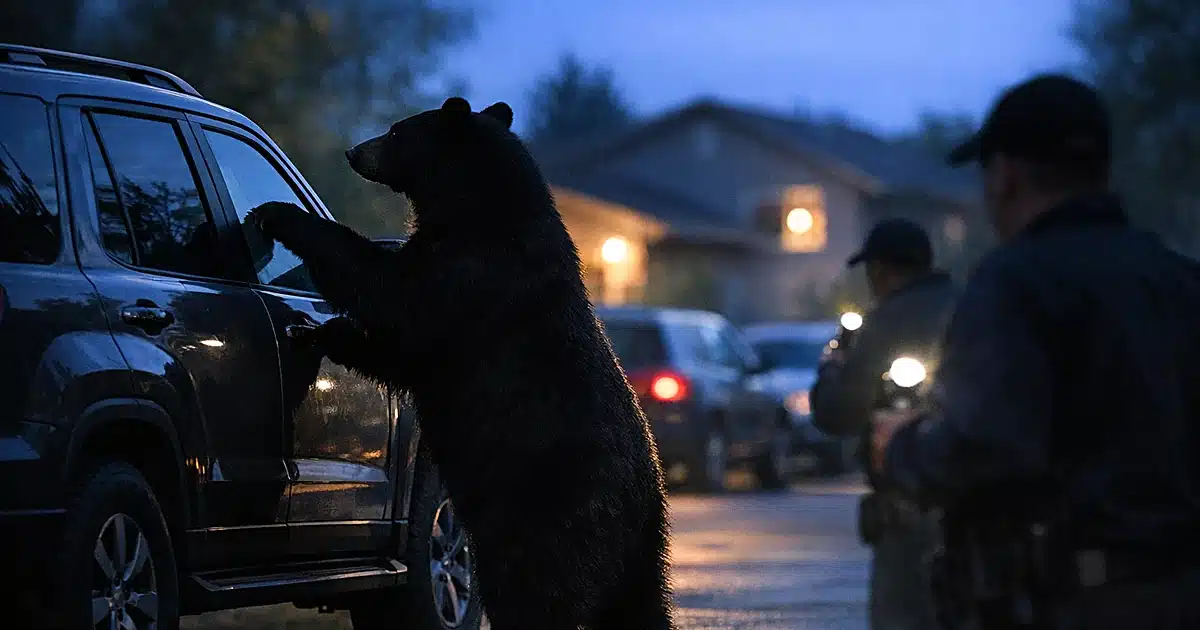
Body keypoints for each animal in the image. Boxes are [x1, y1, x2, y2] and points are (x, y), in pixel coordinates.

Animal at [246, 97, 674, 630]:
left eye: (396, 130)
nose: (354, 151)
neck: (476, 210)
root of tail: (641, 498)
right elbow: (392, 347)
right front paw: (319, 330)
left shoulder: (468, 280)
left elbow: (388, 292)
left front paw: (277, 215)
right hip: (643, 550)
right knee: (642, 604)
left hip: (546, 514)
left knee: (536, 591)